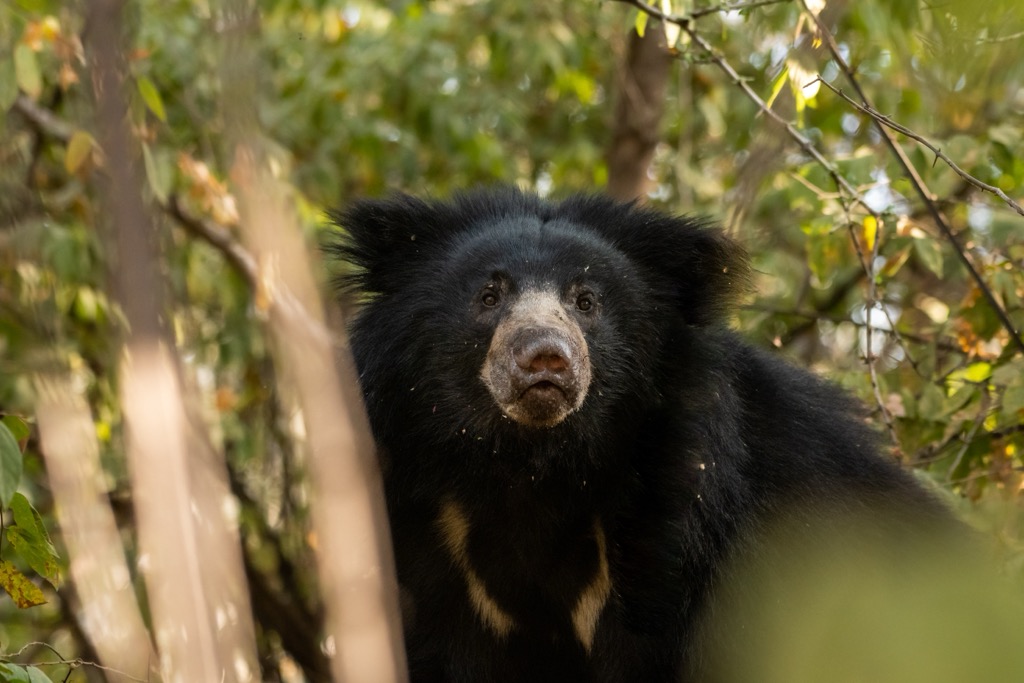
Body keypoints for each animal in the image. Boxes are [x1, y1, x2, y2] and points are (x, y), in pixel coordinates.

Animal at [327, 187, 953, 682]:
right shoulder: (424, 531)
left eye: (586, 301)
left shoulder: (692, 531)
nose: (545, 359)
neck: (533, 467)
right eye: (489, 295)